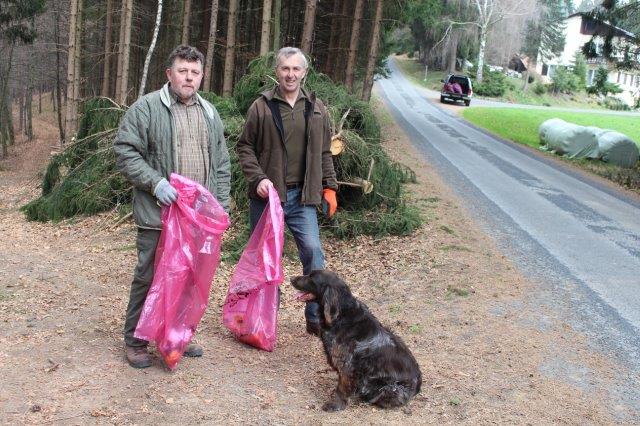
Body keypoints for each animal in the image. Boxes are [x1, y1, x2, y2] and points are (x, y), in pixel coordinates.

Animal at [292, 270, 422, 412]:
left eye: (311, 278)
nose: (291, 278)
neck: (341, 315)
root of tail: (418, 385)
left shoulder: (346, 364)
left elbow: (341, 388)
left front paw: (335, 405)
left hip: (390, 388)